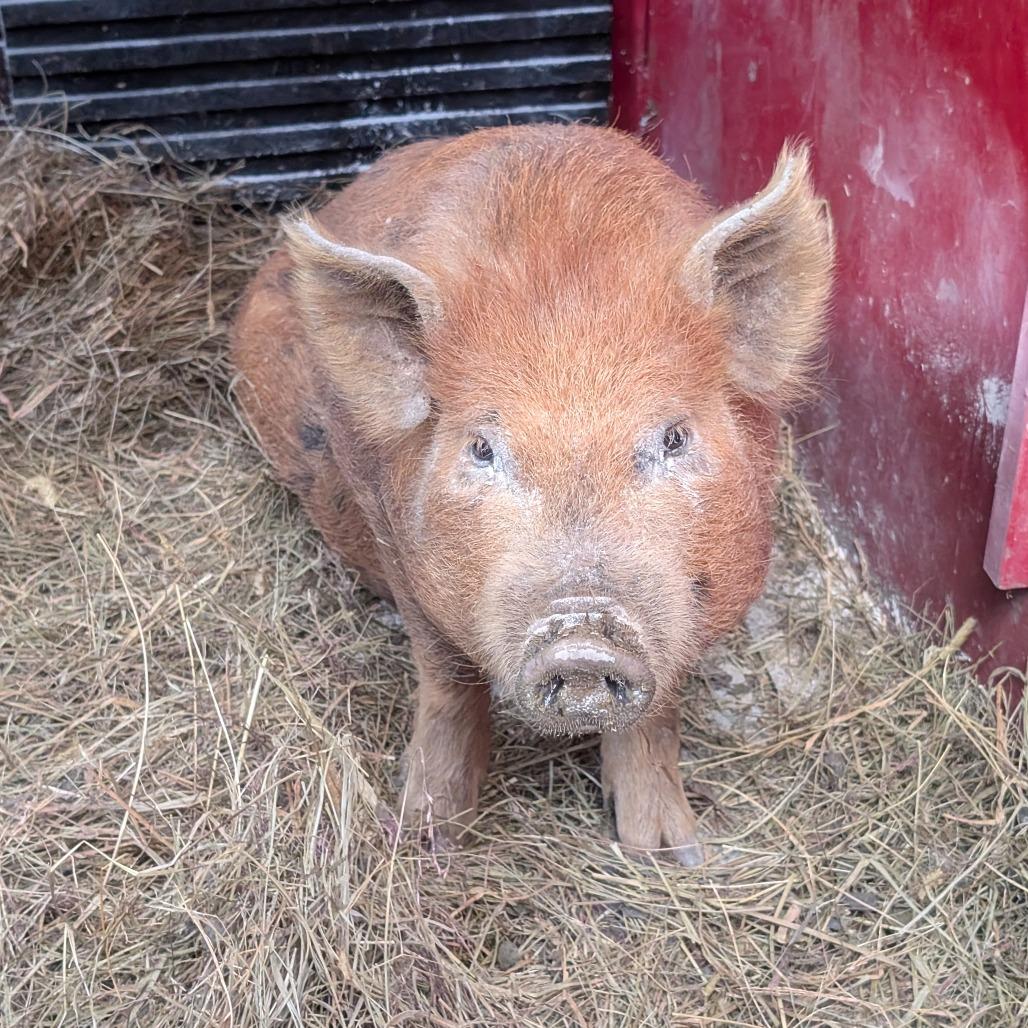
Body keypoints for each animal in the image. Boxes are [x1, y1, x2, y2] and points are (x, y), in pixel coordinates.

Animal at [231, 124, 833, 865]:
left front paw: (668, 854)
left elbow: (658, 707)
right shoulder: (394, 538)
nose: (582, 635)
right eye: (483, 449)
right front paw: (429, 840)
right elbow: (449, 680)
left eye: (674, 437)